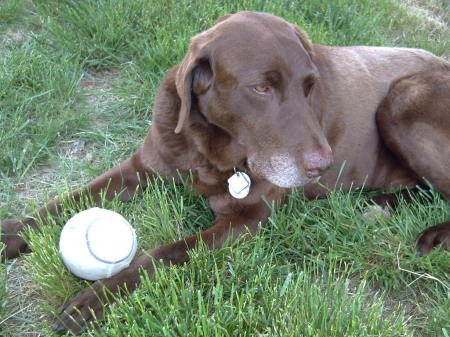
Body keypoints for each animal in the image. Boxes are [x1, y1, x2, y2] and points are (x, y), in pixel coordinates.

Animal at [2, 11, 450, 332]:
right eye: (261, 88)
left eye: (309, 86)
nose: (321, 165)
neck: (207, 149)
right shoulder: (142, 166)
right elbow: (68, 200)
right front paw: (12, 232)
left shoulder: (247, 218)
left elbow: (164, 253)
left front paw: (96, 300)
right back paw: (380, 205)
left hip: (402, 97)